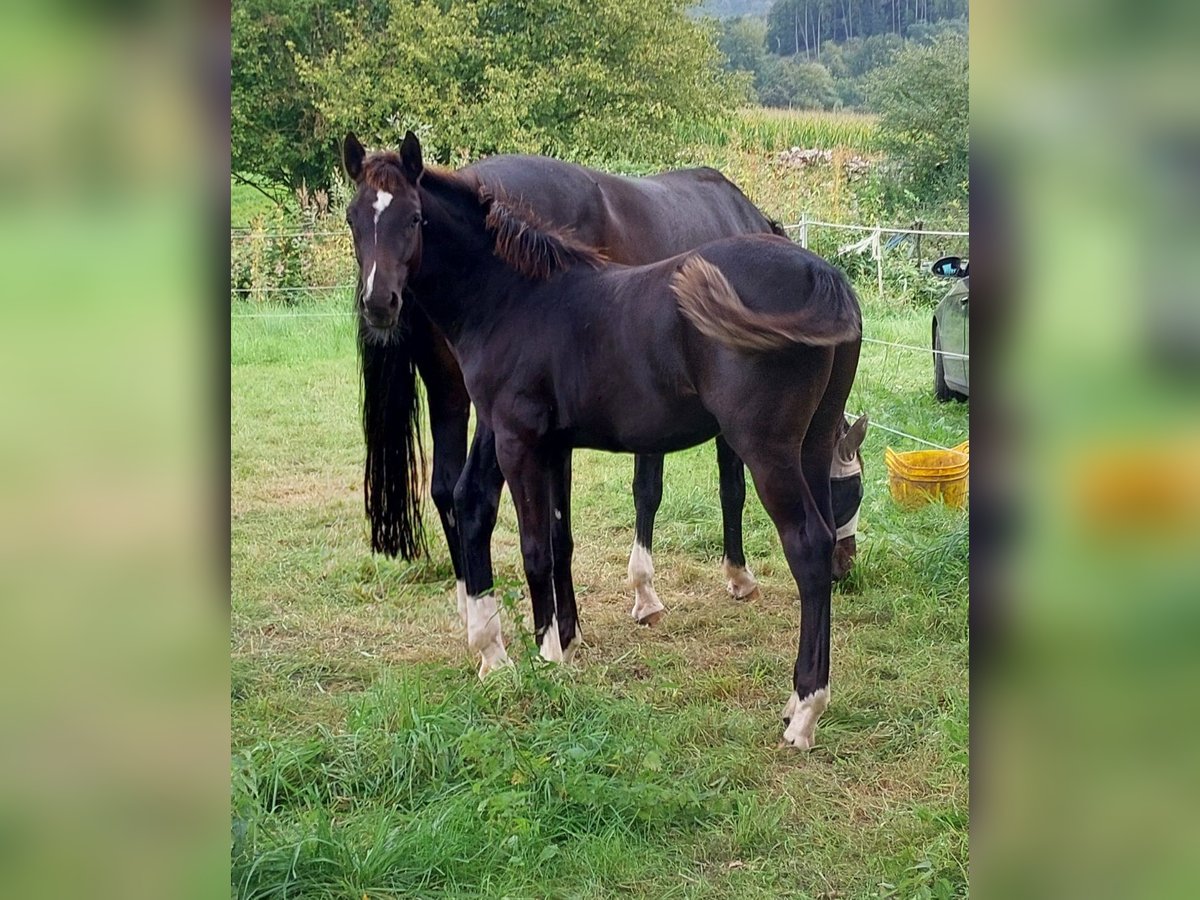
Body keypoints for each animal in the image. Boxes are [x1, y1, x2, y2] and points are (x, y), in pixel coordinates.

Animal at [343, 133, 859, 748]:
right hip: (809, 443)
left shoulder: (517, 439)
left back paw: (805, 709)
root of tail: (822, 274)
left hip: (767, 448)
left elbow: (535, 547)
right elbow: (550, 534)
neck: (514, 297)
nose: (379, 303)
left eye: (415, 218)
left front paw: (547, 655)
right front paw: (551, 641)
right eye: (352, 218)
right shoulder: (544, 442)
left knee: (806, 545)